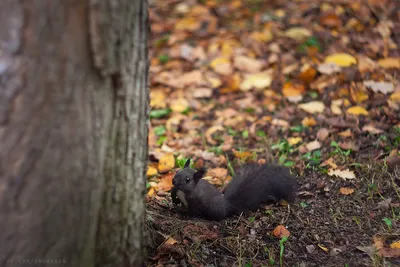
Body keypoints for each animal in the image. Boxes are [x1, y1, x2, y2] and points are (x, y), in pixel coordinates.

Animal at [170, 160, 298, 221]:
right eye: (177, 171)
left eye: (188, 179)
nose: (173, 181)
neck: (183, 191)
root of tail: (226, 205)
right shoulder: (176, 189)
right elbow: (173, 192)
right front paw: (174, 201)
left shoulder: (195, 200)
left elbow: (193, 211)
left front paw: (187, 217)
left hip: (213, 209)